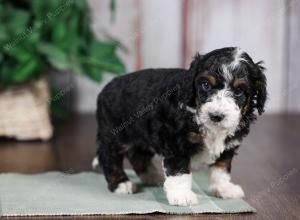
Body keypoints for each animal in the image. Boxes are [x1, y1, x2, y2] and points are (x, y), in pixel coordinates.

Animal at [94, 46, 268, 206]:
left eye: (239, 91)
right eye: (205, 85)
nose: (216, 116)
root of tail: (105, 89)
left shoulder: (228, 145)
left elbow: (221, 168)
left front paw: (223, 188)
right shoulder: (176, 143)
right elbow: (180, 171)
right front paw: (182, 195)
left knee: (138, 156)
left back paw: (152, 176)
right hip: (115, 133)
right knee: (109, 156)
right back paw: (121, 184)